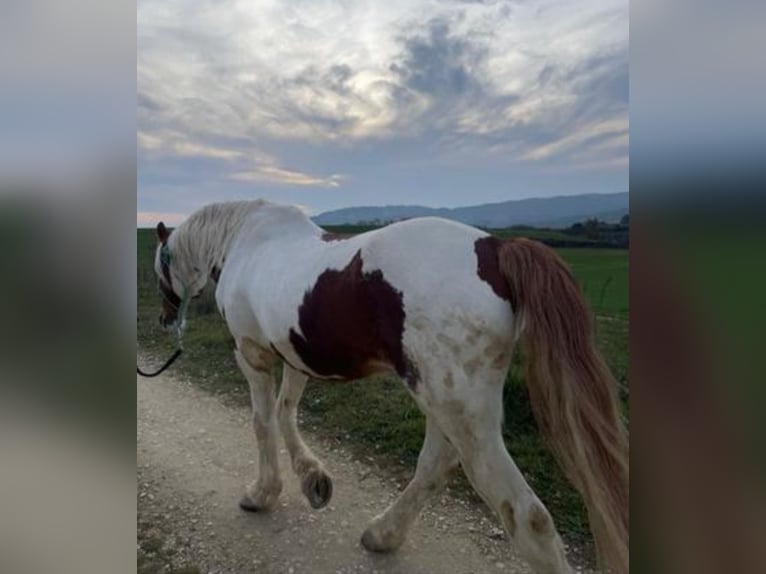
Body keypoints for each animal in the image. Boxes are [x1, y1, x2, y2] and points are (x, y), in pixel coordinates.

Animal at [151, 199, 628, 574]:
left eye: (159, 267)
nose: (164, 318)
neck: (246, 243)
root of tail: (496, 249)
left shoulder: (252, 356)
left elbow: (263, 422)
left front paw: (262, 493)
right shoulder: (293, 357)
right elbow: (287, 413)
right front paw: (313, 480)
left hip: (456, 407)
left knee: (527, 517)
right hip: (446, 399)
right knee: (434, 465)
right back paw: (383, 534)